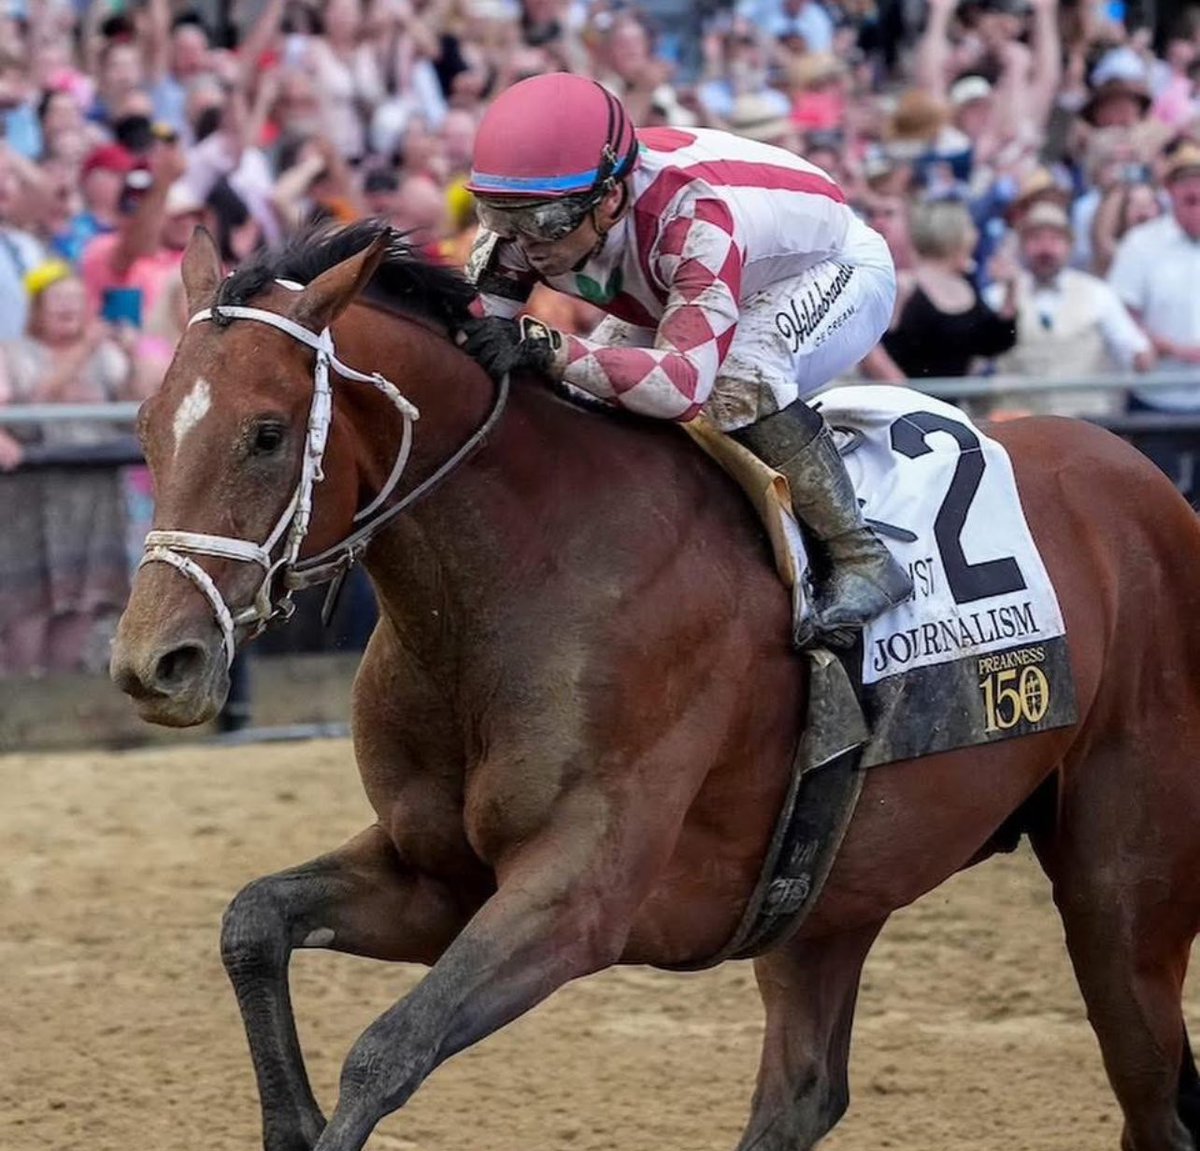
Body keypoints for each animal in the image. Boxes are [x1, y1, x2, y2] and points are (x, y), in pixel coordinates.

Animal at [110, 221, 1200, 1151]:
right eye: (149, 425)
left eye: (265, 432)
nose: (154, 663)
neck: (528, 571)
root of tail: (1152, 490)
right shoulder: (439, 876)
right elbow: (253, 921)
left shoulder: (578, 897)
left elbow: (388, 1049)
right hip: (833, 889)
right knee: (804, 1090)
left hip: (1121, 893)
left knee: (1151, 1086)